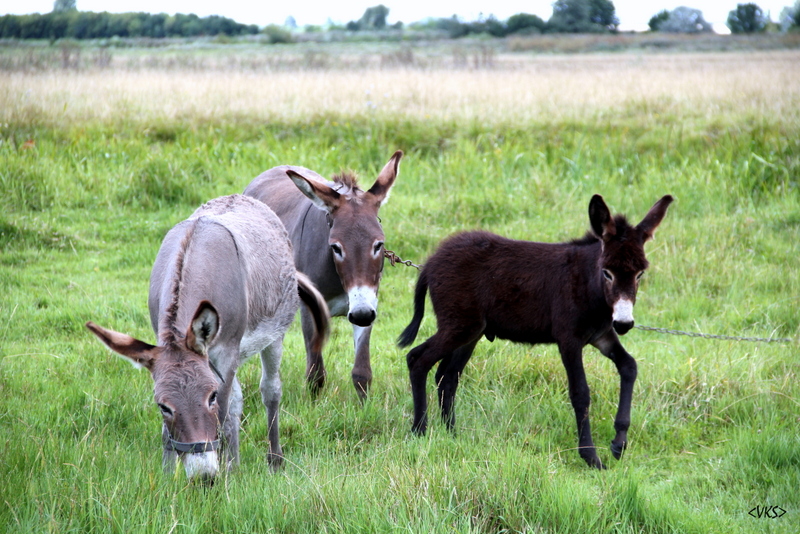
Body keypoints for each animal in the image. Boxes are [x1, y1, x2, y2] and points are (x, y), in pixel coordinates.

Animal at [396, 196, 672, 468]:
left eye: (640, 273)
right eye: (607, 272)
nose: (624, 324)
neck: (589, 285)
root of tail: (431, 262)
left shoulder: (601, 336)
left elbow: (629, 366)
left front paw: (619, 443)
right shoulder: (569, 339)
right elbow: (580, 393)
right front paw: (591, 457)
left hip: (471, 332)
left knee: (447, 375)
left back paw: (451, 433)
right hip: (459, 326)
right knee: (417, 359)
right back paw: (419, 430)